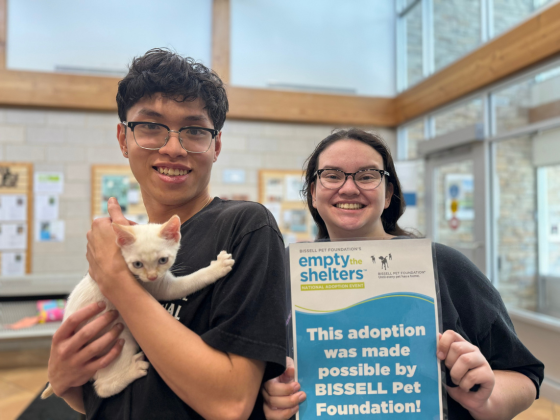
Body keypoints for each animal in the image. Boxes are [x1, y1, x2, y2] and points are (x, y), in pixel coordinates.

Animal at [42, 215, 232, 398]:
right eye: (137, 264)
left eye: (163, 260)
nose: (152, 276)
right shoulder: (160, 287)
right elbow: (191, 281)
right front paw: (217, 267)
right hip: (121, 338)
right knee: (102, 387)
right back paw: (132, 371)